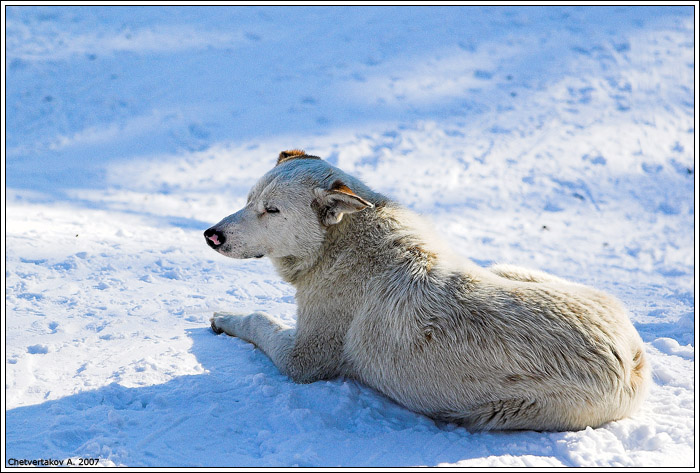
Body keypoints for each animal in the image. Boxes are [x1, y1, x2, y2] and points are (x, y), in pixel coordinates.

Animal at [204, 149, 652, 430]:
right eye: (248, 200)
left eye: (271, 210)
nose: (211, 235)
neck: (339, 244)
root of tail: (632, 356)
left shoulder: (302, 362)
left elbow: (260, 319)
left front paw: (225, 318)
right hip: (507, 268)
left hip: (492, 414)